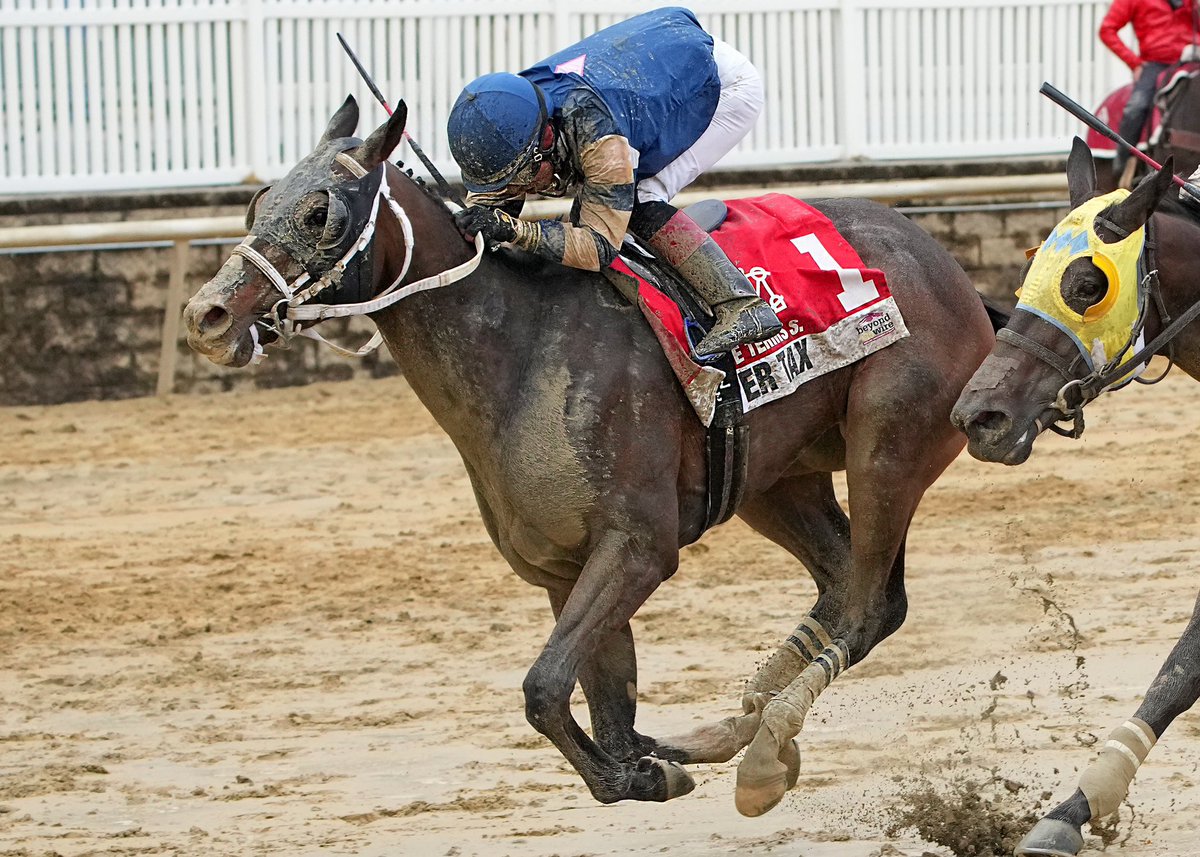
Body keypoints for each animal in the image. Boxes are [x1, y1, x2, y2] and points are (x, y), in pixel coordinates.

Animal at [184, 98, 993, 816]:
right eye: (258, 203)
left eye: (321, 212)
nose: (206, 315)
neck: (522, 355)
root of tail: (953, 272)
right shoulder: (561, 566)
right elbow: (605, 701)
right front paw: (641, 764)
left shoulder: (637, 547)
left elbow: (543, 688)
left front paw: (635, 773)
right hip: (778, 479)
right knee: (844, 586)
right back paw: (731, 726)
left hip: (888, 447)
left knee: (869, 604)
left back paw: (764, 750)